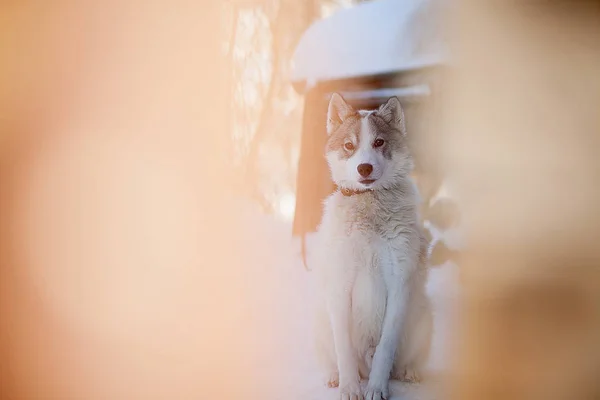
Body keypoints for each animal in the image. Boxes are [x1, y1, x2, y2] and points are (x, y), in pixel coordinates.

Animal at [314, 94, 432, 400]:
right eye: (349, 146)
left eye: (379, 142)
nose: (364, 168)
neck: (369, 203)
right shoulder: (340, 284)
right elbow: (343, 350)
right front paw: (349, 388)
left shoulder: (399, 283)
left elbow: (384, 350)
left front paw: (377, 389)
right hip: (321, 318)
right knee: (330, 357)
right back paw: (332, 377)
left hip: (422, 315)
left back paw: (410, 372)